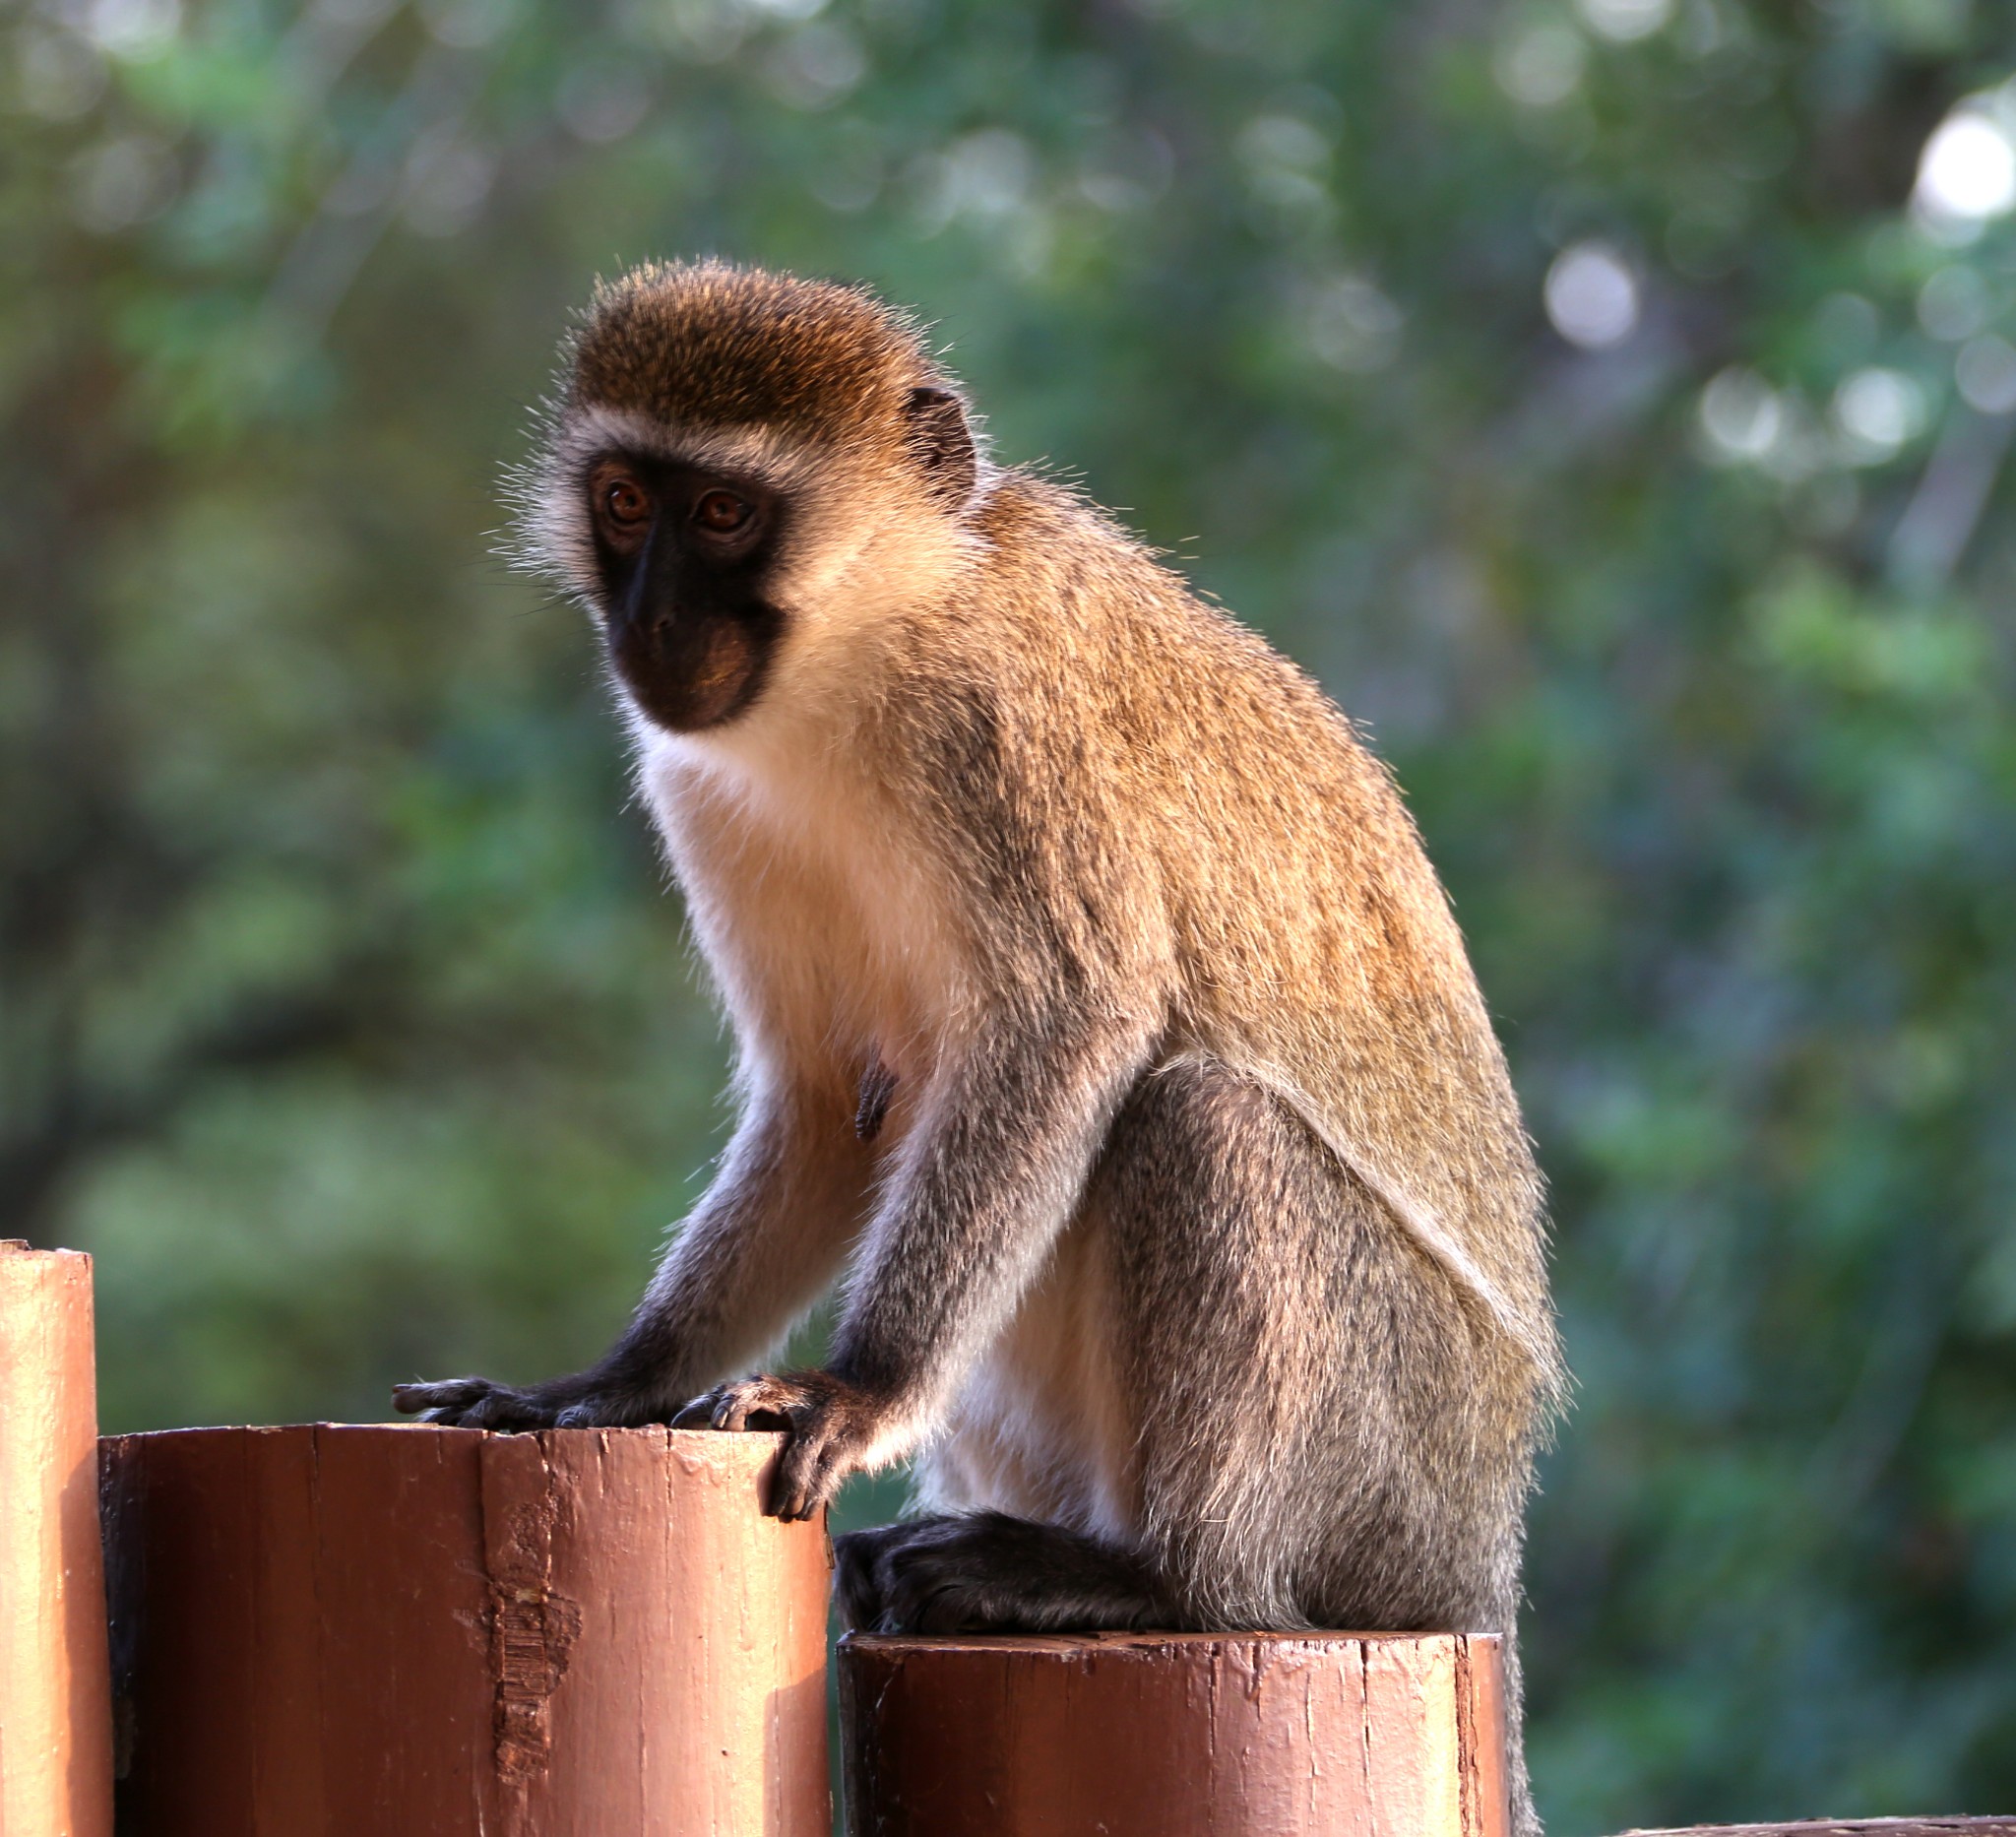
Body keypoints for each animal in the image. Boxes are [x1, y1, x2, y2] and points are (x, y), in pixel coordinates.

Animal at [393, 266, 1556, 1830]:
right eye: (627, 502)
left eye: (724, 515)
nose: (650, 621)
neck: (863, 643)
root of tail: (1478, 1558)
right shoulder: (699, 779)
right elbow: (830, 1102)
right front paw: (614, 1381)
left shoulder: (1004, 730)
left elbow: (1070, 1028)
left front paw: (856, 1386)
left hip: (1396, 1463)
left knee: (1203, 1120)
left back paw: (1158, 1578)